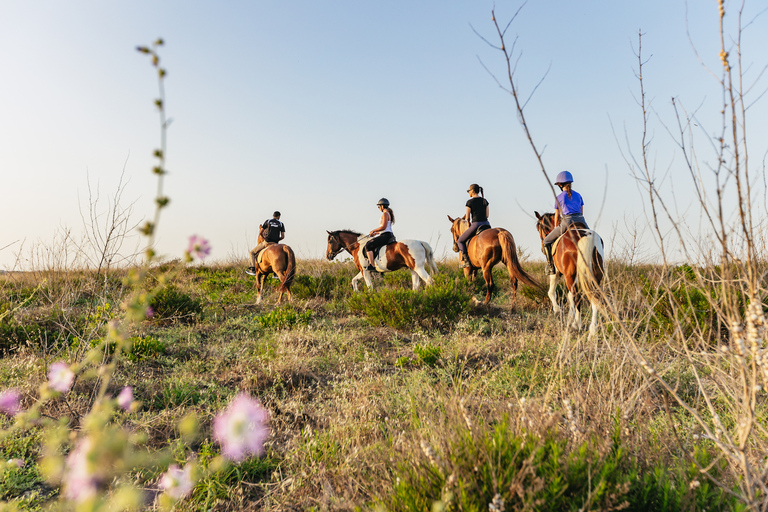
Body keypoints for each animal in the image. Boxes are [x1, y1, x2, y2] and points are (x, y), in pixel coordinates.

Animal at [536, 210, 608, 338]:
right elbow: (570, 297)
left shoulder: (556, 273)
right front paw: (570, 317)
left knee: (577, 295)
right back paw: (592, 331)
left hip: (569, 275)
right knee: (595, 298)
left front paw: (558, 310)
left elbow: (552, 292)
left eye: (538, 228)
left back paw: (577, 325)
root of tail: (585, 237)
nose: (542, 249)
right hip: (594, 277)